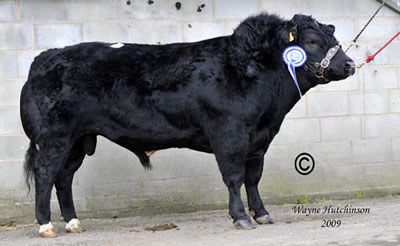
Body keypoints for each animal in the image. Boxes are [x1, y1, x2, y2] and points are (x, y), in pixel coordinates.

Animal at [20, 13, 354, 234]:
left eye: (334, 38)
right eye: (312, 41)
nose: (350, 64)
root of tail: (46, 57)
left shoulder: (259, 140)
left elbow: (253, 179)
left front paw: (262, 214)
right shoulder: (230, 136)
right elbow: (234, 178)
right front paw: (240, 217)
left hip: (78, 139)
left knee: (64, 177)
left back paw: (73, 223)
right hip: (54, 138)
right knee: (46, 173)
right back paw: (46, 225)